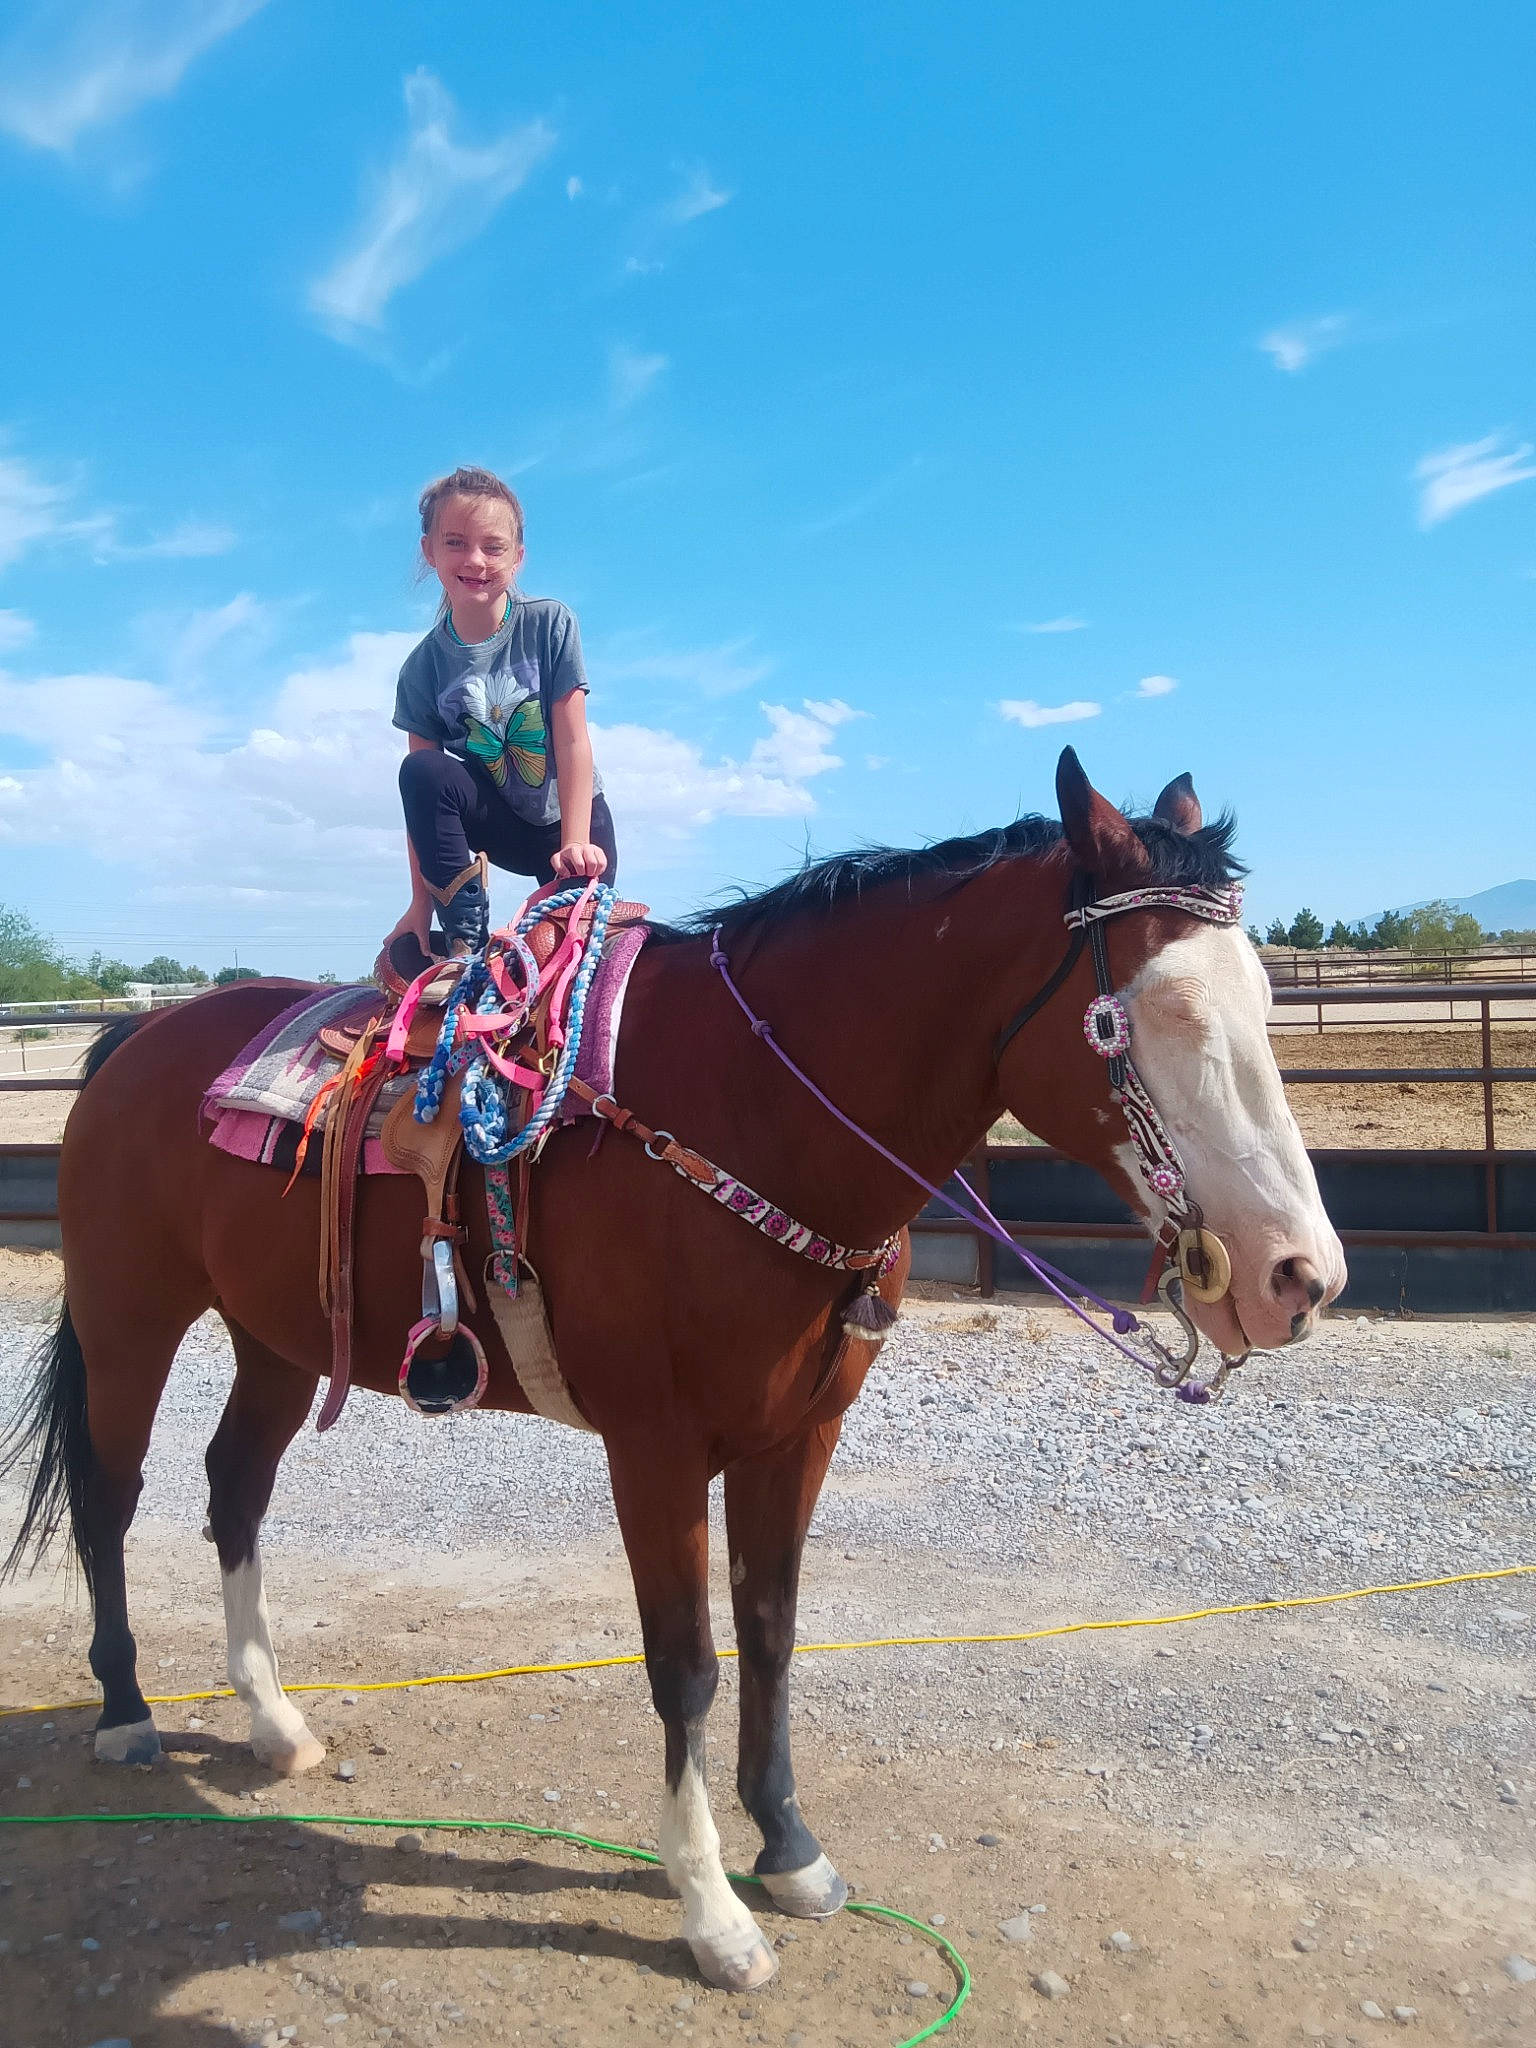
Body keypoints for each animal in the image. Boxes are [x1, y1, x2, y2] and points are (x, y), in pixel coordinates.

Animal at [2, 748, 1344, 1992]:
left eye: (1263, 997)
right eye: (1157, 1011)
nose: (1302, 1275)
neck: (747, 1116)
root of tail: (135, 1037)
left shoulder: (798, 1433)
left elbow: (772, 1631)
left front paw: (790, 1849)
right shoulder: (653, 1447)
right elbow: (686, 1664)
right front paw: (713, 1914)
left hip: (280, 1336)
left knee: (233, 1486)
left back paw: (274, 1721)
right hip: (132, 1317)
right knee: (114, 1495)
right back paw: (126, 1711)